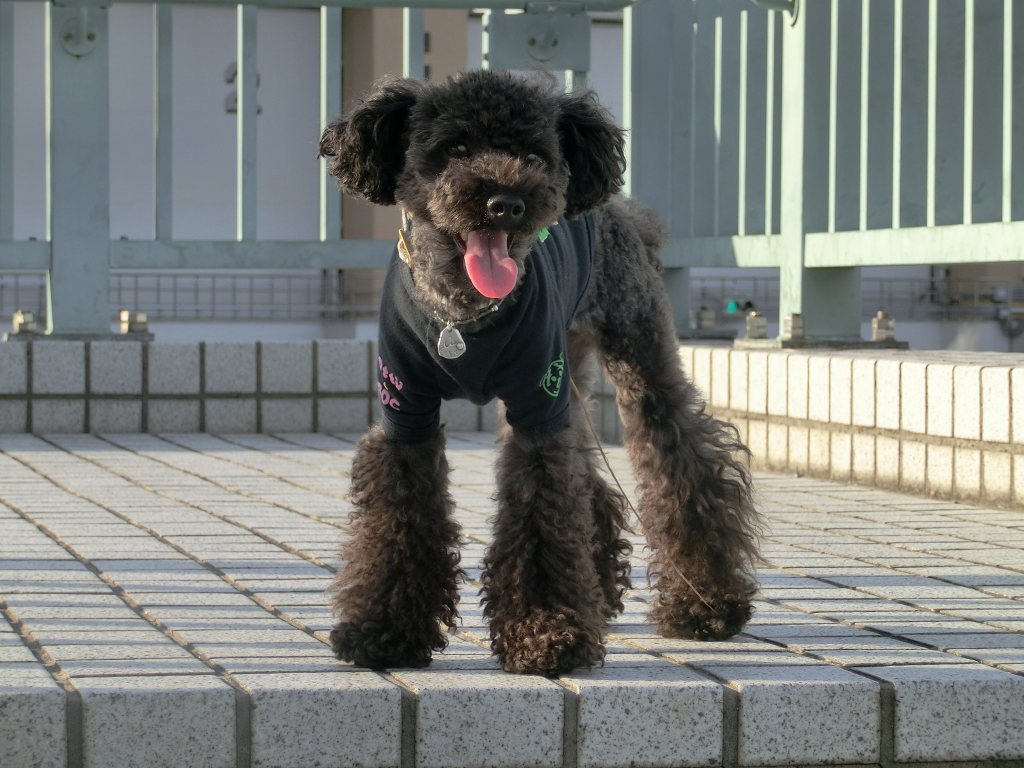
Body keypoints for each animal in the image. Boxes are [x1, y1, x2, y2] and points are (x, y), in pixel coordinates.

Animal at [319, 70, 761, 675]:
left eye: (533, 155)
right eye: (455, 149)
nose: (506, 203)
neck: (463, 314)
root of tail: (624, 212)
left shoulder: (535, 404)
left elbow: (541, 511)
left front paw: (546, 632)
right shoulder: (404, 408)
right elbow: (399, 514)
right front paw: (383, 630)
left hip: (632, 350)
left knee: (682, 458)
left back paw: (707, 604)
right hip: (569, 373)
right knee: (590, 479)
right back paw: (603, 583)